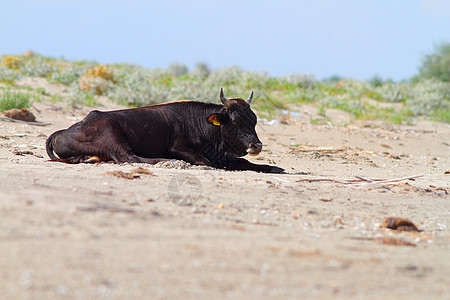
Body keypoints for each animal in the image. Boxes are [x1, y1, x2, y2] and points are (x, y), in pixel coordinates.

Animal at [46, 88, 284, 173]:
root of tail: (62, 132)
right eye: (234, 121)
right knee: (128, 157)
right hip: (112, 133)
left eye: (253, 120)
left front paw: (273, 168)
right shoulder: (178, 147)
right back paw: (165, 161)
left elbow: (246, 163)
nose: (256, 145)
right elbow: (205, 162)